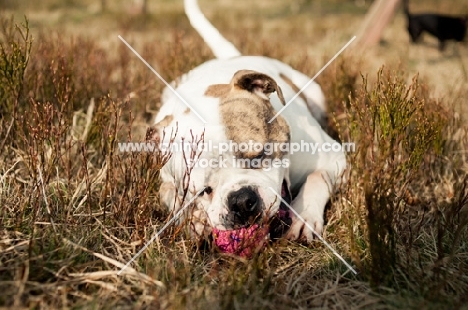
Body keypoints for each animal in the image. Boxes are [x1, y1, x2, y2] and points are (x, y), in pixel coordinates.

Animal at [150, 0, 348, 242]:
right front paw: (194, 219)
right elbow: (169, 194)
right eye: (204, 190)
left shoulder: (334, 158)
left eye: (260, 156)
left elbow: (317, 178)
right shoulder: (166, 179)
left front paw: (304, 217)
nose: (242, 201)